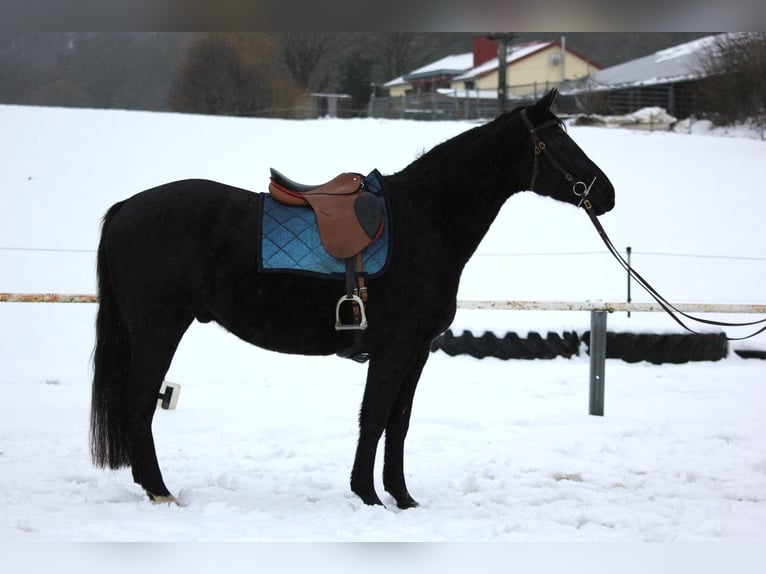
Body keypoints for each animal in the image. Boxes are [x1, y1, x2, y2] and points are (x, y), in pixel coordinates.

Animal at [90, 88, 615, 508]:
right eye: (560, 141)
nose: (606, 194)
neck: (427, 219)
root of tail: (126, 208)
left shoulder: (417, 351)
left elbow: (398, 423)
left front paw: (402, 497)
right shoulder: (394, 349)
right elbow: (376, 418)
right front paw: (368, 494)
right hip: (158, 328)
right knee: (139, 402)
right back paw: (160, 490)